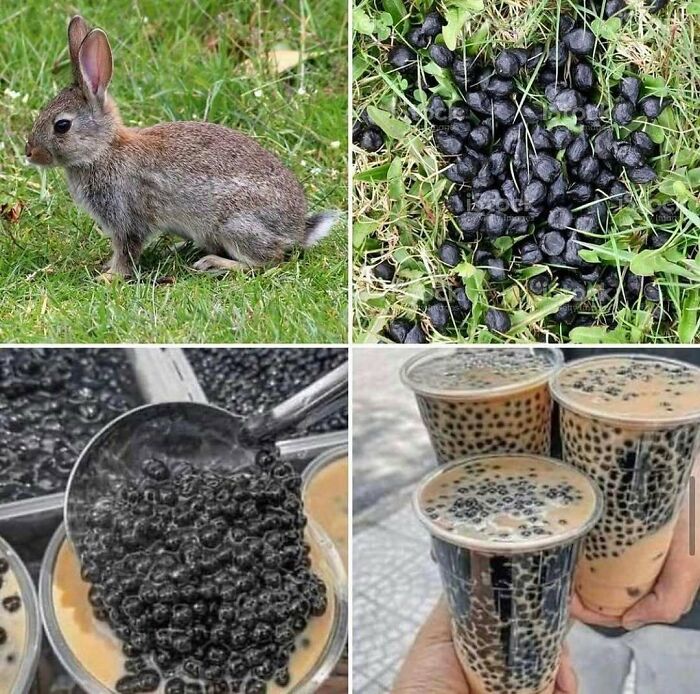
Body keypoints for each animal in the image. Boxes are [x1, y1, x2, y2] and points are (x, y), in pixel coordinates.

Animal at [25, 15, 340, 278]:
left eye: (61, 125)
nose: (29, 153)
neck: (104, 150)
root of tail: (298, 230)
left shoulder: (127, 216)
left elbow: (127, 250)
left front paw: (109, 277)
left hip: (236, 224)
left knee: (269, 259)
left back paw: (213, 263)